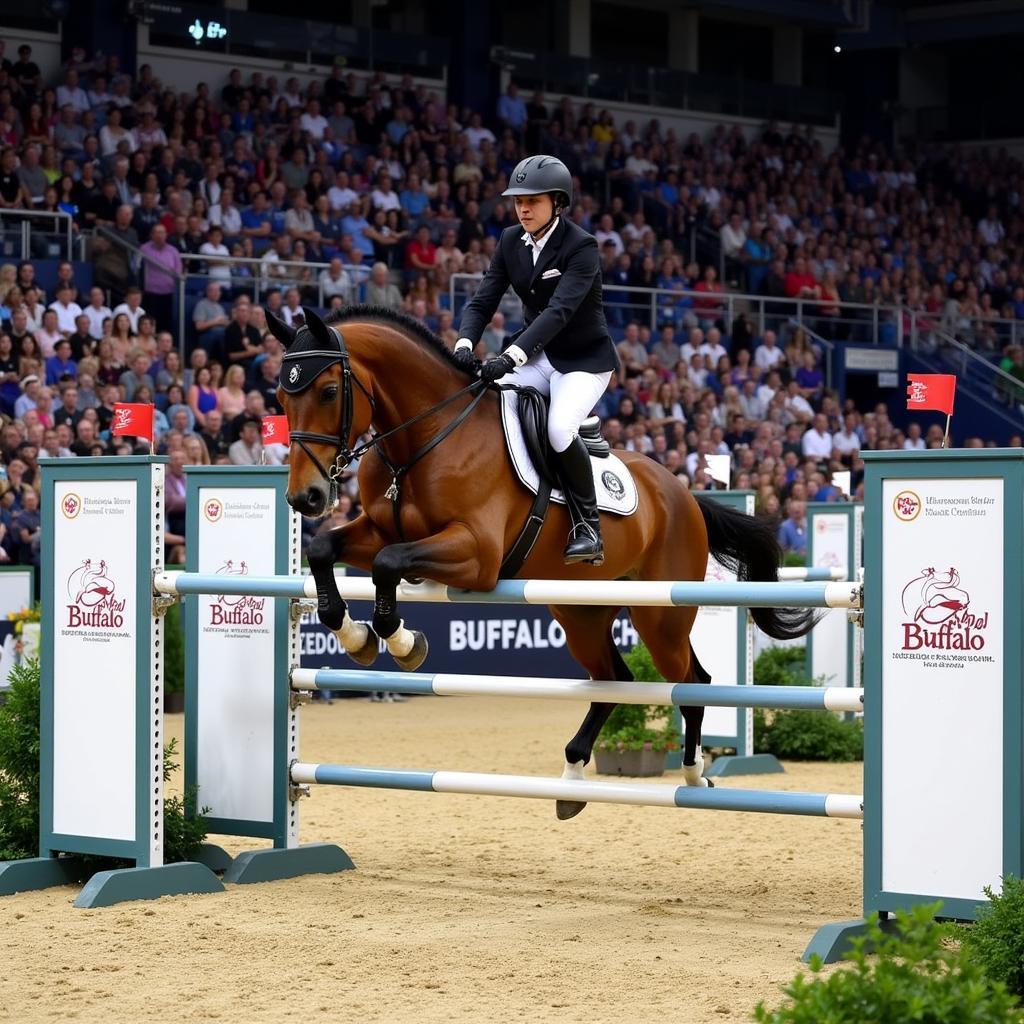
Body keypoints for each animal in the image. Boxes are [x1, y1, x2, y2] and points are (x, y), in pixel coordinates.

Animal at [268, 303, 811, 815]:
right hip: (579, 612)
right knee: (614, 678)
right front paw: (355, 635)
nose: (305, 498)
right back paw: (572, 777)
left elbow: (388, 563)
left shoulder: (477, 555)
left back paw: (695, 775)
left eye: (327, 392)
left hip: (659, 616)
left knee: (693, 682)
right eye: (280, 398)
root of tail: (682, 492)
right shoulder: (379, 529)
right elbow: (324, 549)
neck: (423, 439)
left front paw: (402, 643)